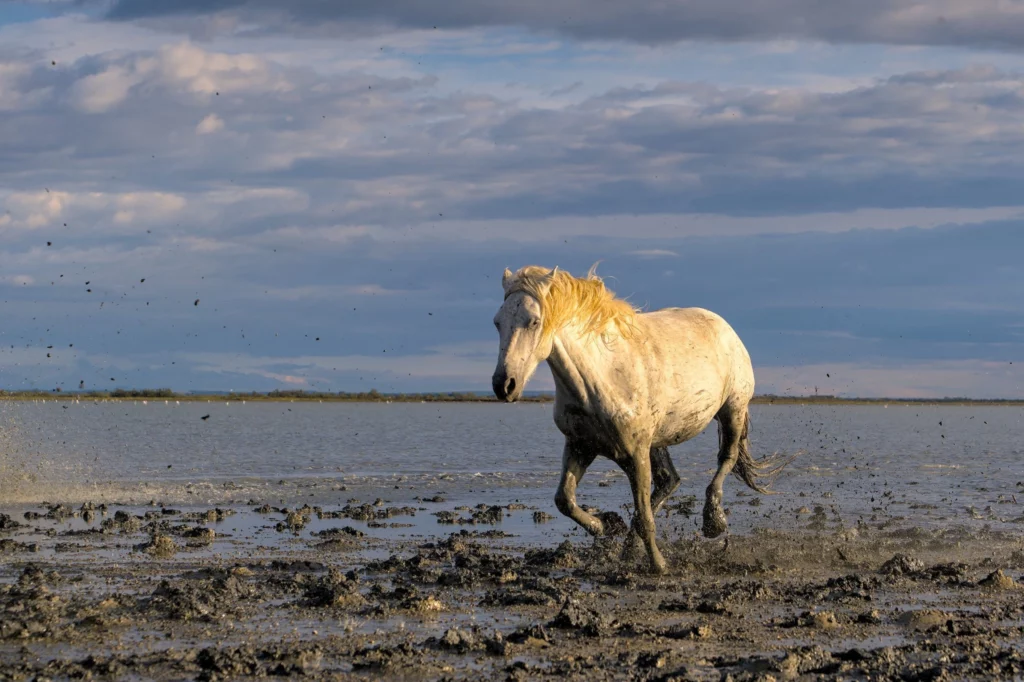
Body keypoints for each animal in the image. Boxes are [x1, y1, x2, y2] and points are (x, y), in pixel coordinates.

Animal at [491, 265, 790, 574]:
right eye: (498, 322)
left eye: (534, 321)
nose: (504, 385)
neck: (602, 377)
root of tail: (725, 328)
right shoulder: (581, 446)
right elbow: (564, 500)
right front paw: (604, 527)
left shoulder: (635, 454)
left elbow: (645, 516)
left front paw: (658, 565)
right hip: (657, 441)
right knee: (670, 480)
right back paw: (629, 546)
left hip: (732, 410)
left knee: (725, 459)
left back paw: (713, 521)